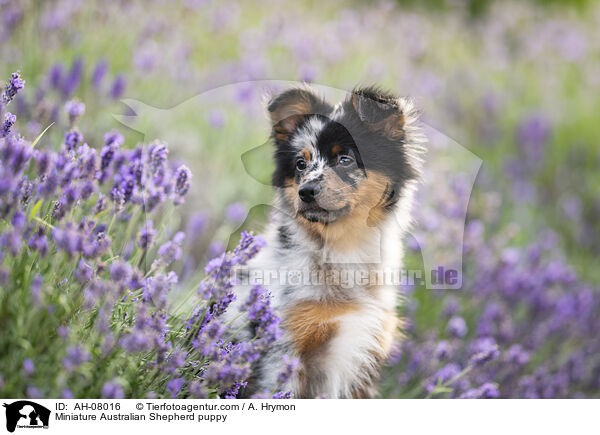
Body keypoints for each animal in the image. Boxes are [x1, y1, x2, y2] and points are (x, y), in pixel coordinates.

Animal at [226, 84, 426, 398]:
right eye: (300, 164)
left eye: (345, 159)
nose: (306, 192)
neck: (342, 250)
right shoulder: (284, 352)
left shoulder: (364, 354)